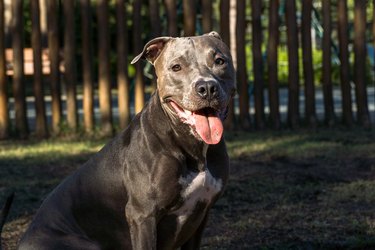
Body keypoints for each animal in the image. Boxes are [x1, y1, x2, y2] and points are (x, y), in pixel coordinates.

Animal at [19, 32, 236, 249]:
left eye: (220, 61)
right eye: (176, 67)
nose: (207, 87)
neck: (191, 145)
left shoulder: (201, 214)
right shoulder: (142, 215)